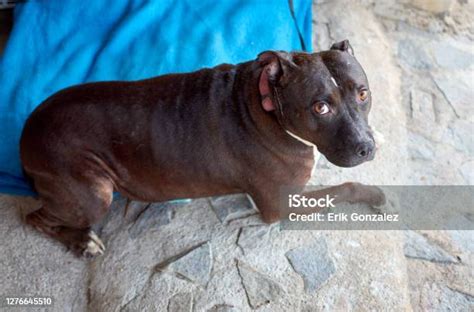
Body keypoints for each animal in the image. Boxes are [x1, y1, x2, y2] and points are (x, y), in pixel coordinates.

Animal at [19, 40, 386, 258]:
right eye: (320, 107)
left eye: (363, 94)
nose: (365, 147)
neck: (267, 104)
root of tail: (28, 132)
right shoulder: (282, 204)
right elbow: (346, 186)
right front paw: (375, 194)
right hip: (94, 194)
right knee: (35, 218)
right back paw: (82, 242)